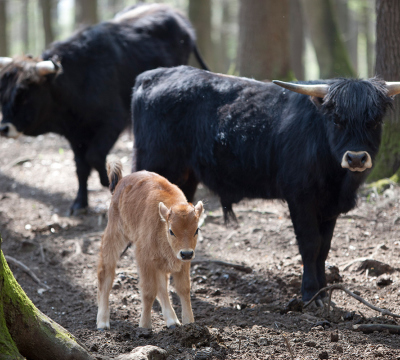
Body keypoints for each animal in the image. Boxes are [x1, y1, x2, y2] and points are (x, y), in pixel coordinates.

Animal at [0, 2, 208, 214]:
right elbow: (81, 167)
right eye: (2, 93)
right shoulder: (75, 133)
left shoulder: (112, 122)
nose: (4, 128)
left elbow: (94, 155)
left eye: (24, 94)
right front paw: (80, 202)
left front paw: (105, 180)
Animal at [96, 160, 203, 330]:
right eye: (171, 231)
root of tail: (121, 182)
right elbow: (148, 292)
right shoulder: (144, 259)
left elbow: (183, 288)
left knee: (162, 287)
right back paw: (102, 322)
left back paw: (172, 321)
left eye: (196, 230)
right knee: (105, 274)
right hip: (115, 236)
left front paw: (189, 323)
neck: (162, 223)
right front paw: (144, 326)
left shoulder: (182, 262)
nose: (186, 253)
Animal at [132, 66, 400, 302]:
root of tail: (151, 76)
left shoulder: (329, 206)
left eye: (375, 121)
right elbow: (310, 244)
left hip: (184, 180)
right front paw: (310, 294)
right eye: (336, 120)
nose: (356, 157)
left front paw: (324, 292)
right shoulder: (300, 198)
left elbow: (324, 247)